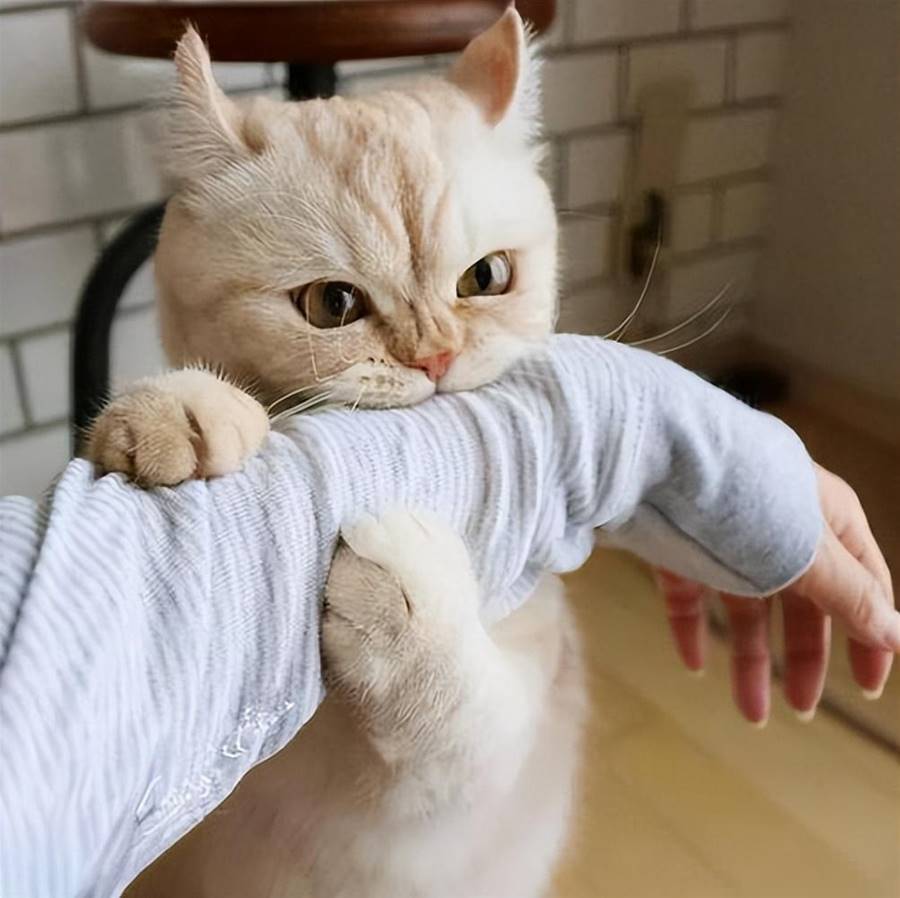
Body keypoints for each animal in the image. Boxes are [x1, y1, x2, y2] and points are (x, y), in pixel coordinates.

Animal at [94, 10, 587, 898]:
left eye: (487, 279)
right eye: (332, 305)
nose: (435, 357)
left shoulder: (456, 797)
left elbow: (461, 717)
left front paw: (408, 591)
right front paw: (177, 410)